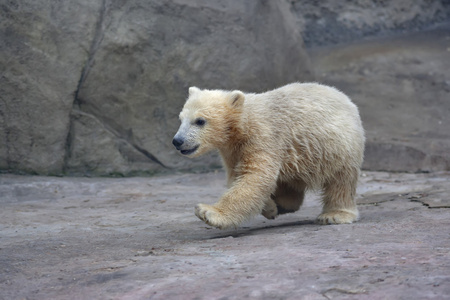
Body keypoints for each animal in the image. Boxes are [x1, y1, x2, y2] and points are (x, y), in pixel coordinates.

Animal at [172, 83, 366, 229]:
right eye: (181, 119)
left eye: (200, 121)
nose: (177, 141)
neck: (244, 121)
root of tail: (346, 99)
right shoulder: (232, 150)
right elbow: (238, 176)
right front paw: (270, 207)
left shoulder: (263, 137)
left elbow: (255, 177)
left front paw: (208, 212)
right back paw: (284, 203)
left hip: (339, 146)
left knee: (341, 180)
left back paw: (335, 214)